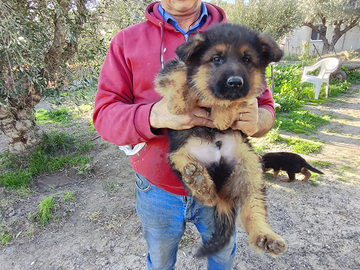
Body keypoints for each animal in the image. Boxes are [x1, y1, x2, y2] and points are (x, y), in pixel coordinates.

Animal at [155, 23, 286, 258]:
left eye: (247, 59)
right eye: (216, 58)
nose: (235, 82)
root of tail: (221, 189)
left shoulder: (247, 95)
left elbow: (238, 99)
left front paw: (222, 115)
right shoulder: (170, 69)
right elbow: (181, 72)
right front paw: (179, 101)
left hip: (250, 166)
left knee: (252, 209)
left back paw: (266, 237)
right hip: (179, 154)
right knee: (200, 187)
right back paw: (198, 180)